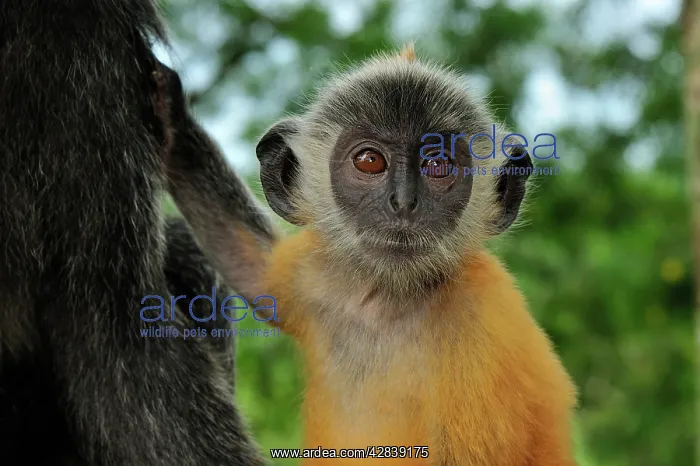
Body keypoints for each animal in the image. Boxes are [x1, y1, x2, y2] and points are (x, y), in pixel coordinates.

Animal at [160, 45, 578, 465]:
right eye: (369, 161)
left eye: (437, 165)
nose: (404, 202)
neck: (389, 305)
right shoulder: (315, 276)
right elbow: (251, 264)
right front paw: (167, 104)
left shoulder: (483, 324)